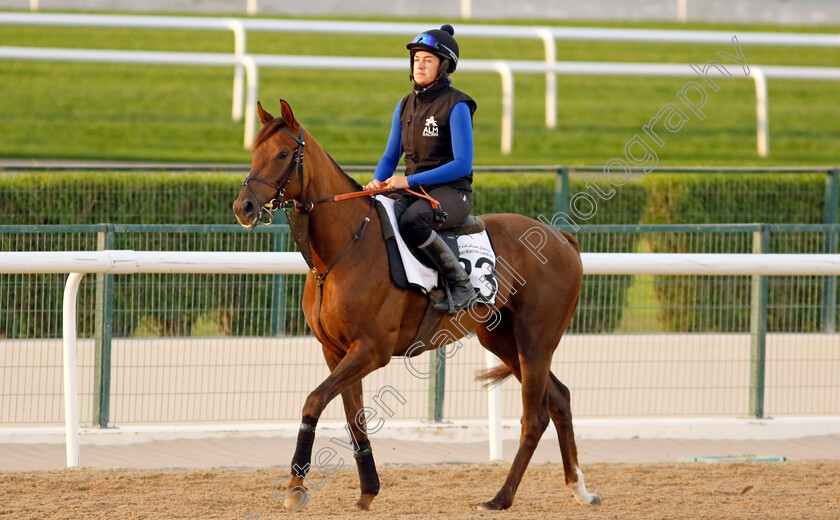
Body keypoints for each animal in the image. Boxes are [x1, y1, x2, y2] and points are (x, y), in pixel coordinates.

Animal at [230, 100, 596, 512]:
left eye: (281, 154)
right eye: (254, 152)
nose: (243, 207)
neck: (344, 250)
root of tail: (563, 238)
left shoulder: (373, 350)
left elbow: (314, 401)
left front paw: (295, 488)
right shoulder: (336, 350)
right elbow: (354, 420)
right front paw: (367, 491)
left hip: (535, 340)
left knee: (534, 418)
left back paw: (501, 497)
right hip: (503, 340)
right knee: (560, 399)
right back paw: (579, 488)